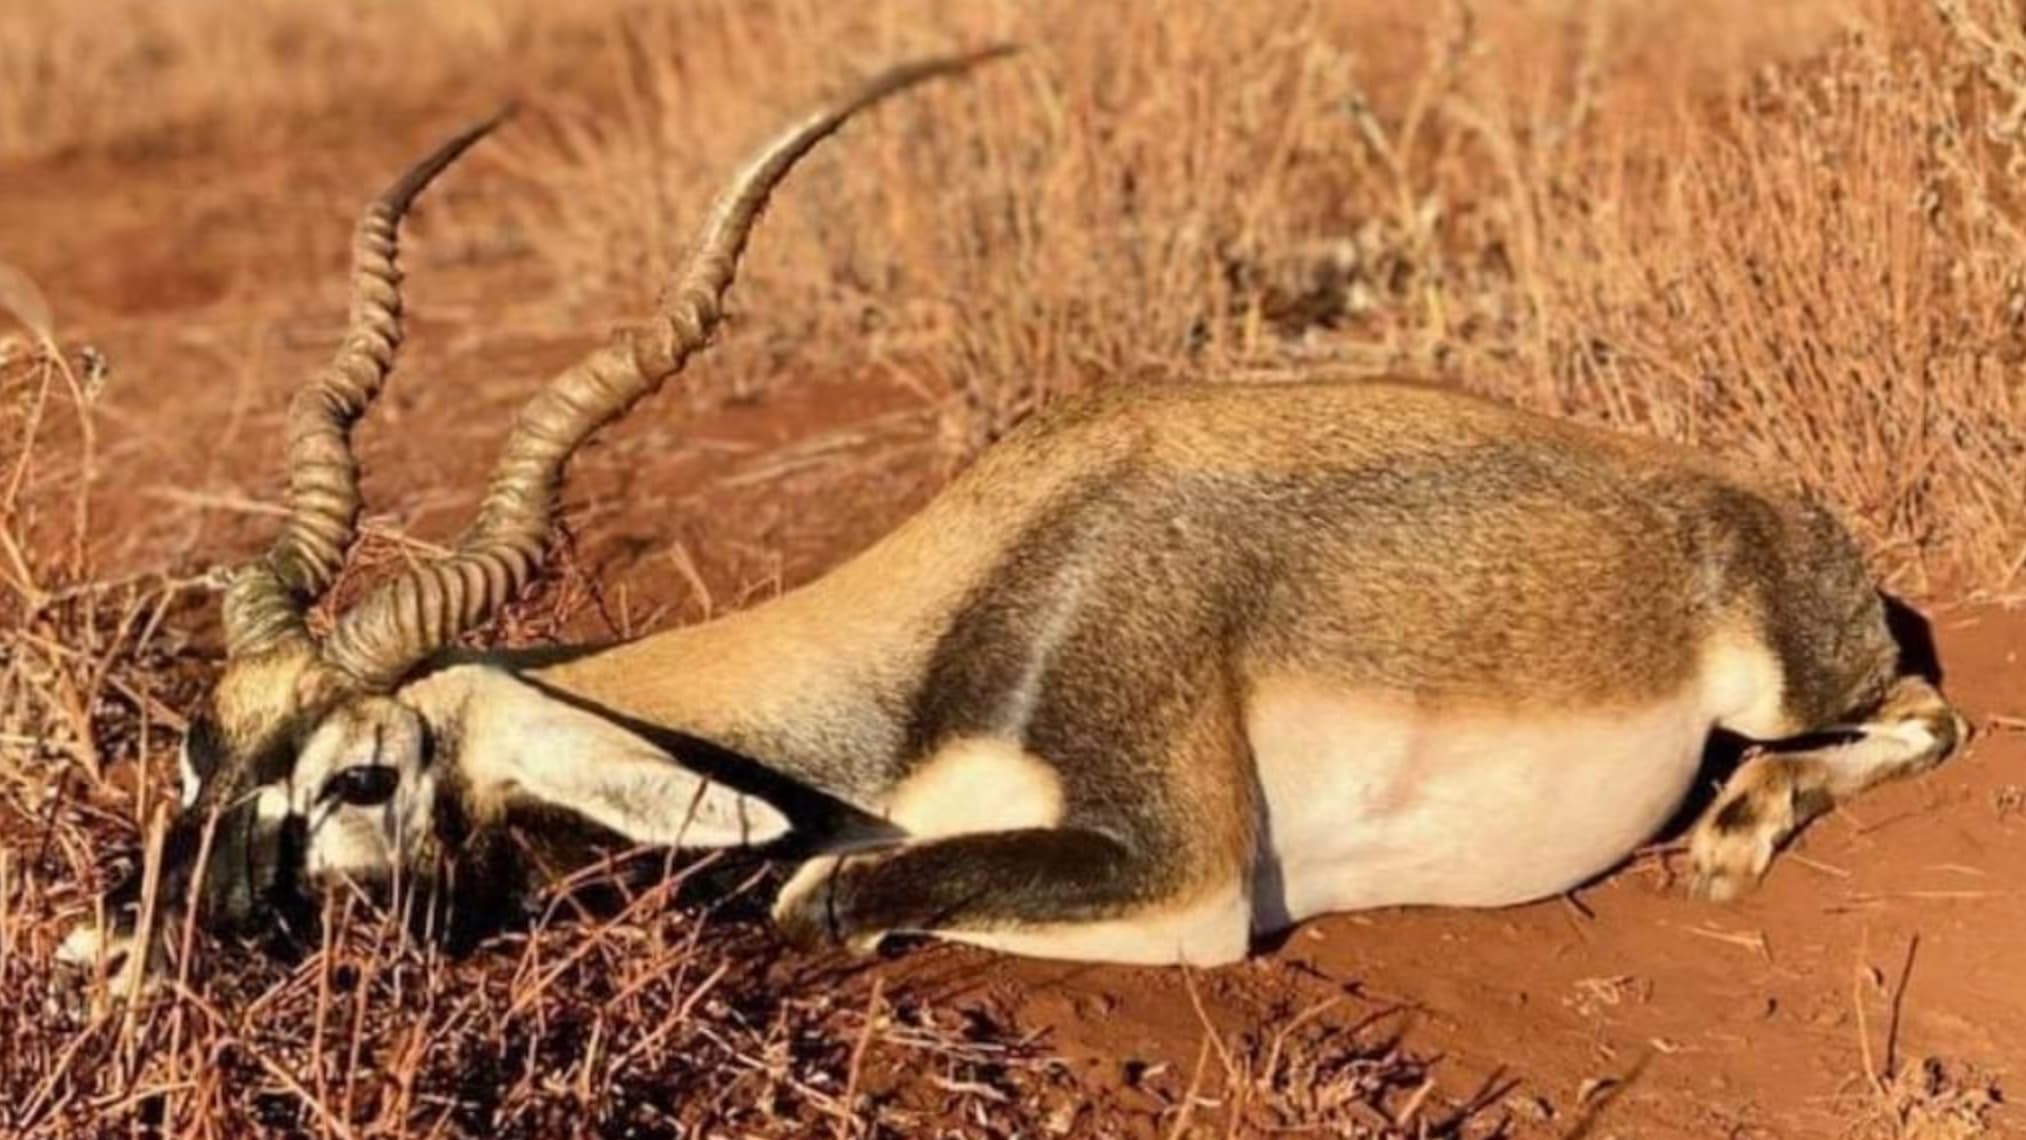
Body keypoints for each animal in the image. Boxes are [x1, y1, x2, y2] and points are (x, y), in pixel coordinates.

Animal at [67, 48, 1967, 980]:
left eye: (363, 775)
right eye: (194, 750)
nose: (171, 940)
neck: (939, 647)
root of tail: (1749, 499)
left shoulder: (1180, 888)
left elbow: (809, 896)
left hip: (1788, 678)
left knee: (1923, 719)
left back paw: (1729, 836)